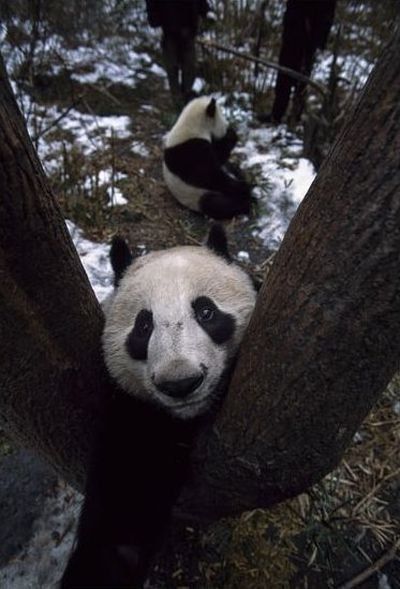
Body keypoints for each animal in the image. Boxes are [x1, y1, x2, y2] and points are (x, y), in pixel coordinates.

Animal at [61, 225, 256, 588]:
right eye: (143, 325)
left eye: (206, 312)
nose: (180, 383)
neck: (187, 418)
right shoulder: (134, 412)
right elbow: (125, 507)